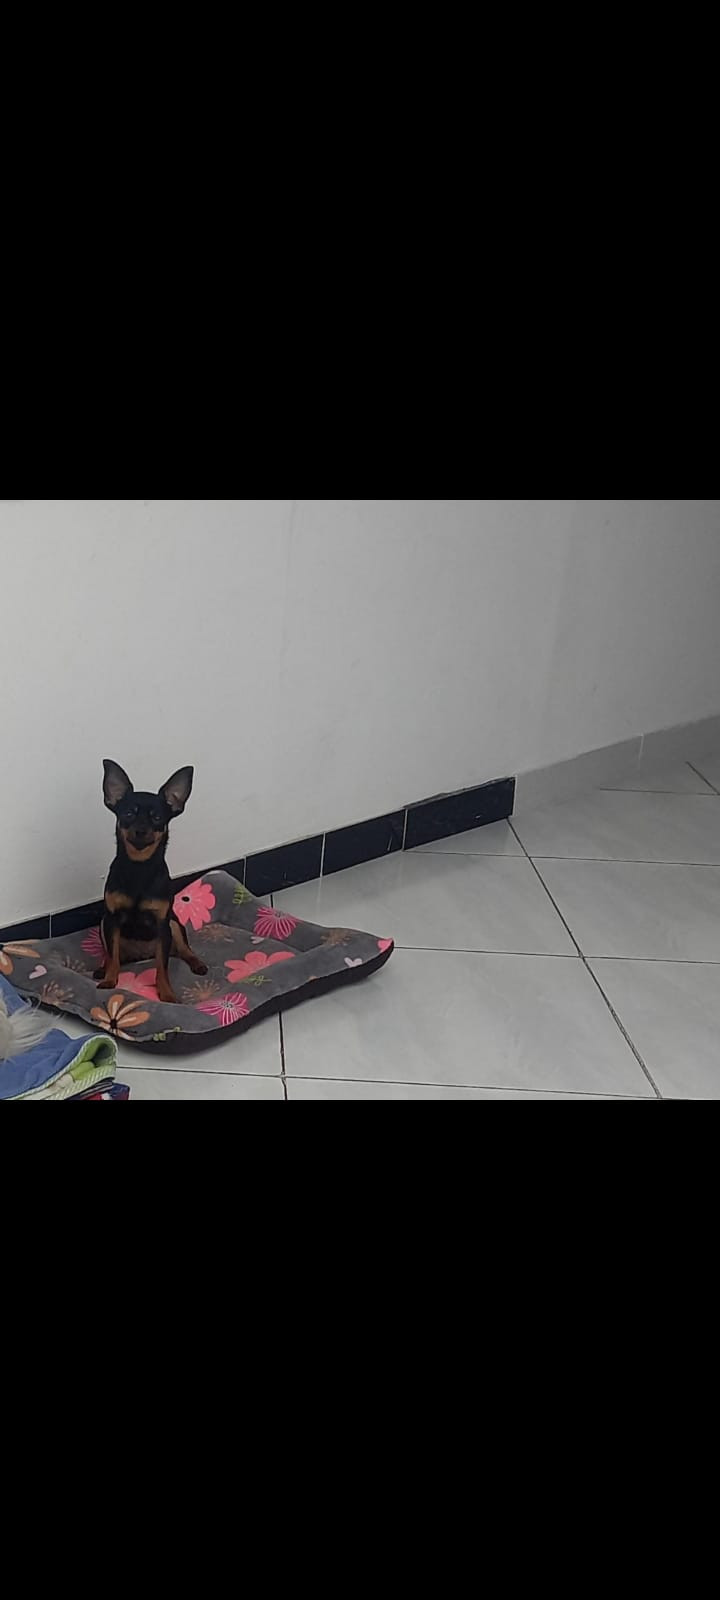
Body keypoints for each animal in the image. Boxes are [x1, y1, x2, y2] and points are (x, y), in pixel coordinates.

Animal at [97, 760, 208, 1005]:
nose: (141, 829)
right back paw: (102, 968)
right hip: (103, 924)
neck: (140, 867)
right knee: (112, 954)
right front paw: (110, 980)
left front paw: (166, 993)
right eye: (128, 813)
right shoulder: (112, 920)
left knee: (184, 951)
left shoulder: (162, 925)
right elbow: (113, 954)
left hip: (174, 925)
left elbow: (161, 967)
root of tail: (142, 956)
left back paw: (197, 963)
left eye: (157, 818)